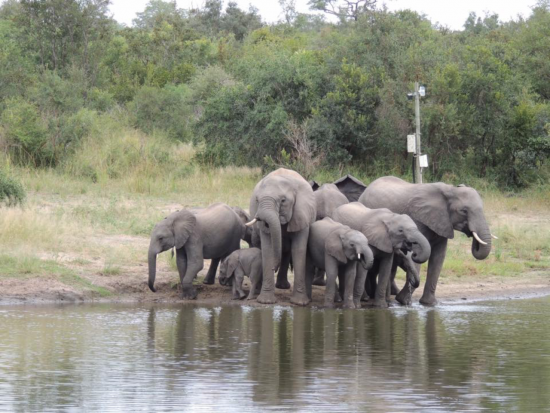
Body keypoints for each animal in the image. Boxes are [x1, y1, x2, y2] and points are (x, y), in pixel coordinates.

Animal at [248, 167, 316, 306]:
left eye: (283, 200)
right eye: (257, 200)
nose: (274, 268)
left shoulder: (302, 213)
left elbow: (298, 250)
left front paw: (300, 303)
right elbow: (268, 249)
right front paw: (265, 301)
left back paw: (282, 286)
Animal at [360, 175, 498, 304]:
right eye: (463, 211)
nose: (471, 232)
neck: (450, 190)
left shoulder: (443, 223)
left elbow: (438, 258)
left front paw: (429, 303)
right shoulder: (418, 219)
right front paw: (404, 301)